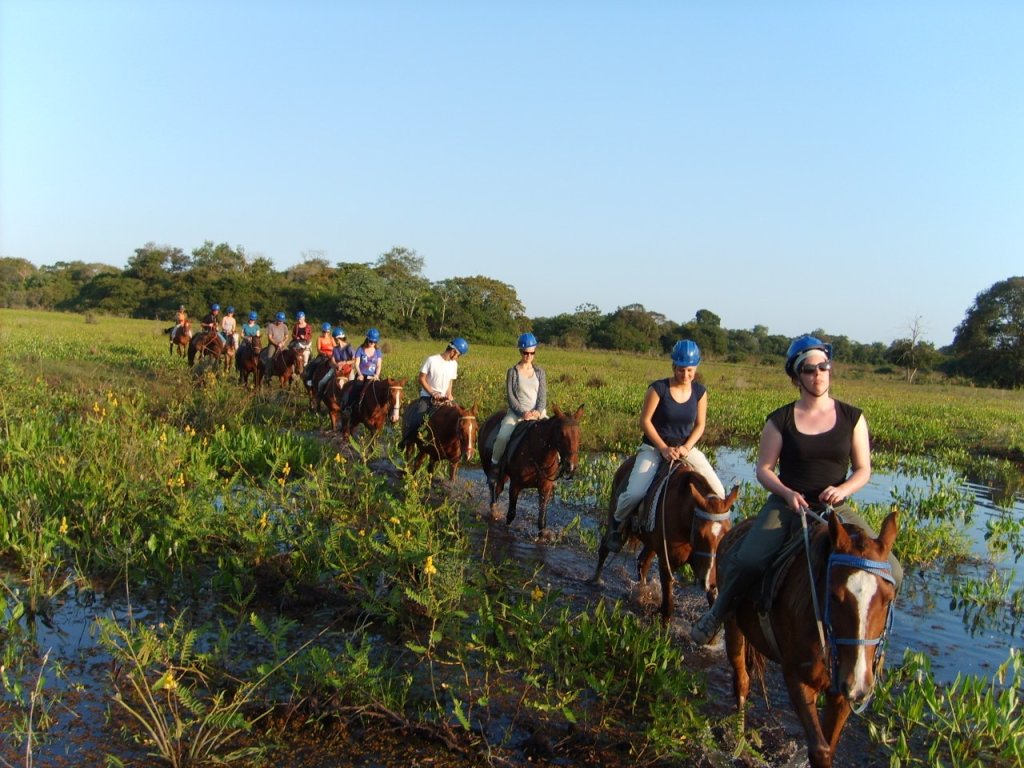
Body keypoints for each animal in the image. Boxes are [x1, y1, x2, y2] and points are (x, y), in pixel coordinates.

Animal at [475, 405, 581, 536]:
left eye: (578, 433)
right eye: (561, 433)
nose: (571, 466)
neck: (538, 455)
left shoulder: (545, 487)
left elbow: (541, 521)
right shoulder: (515, 485)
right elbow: (511, 514)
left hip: (504, 475)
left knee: (498, 489)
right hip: (489, 467)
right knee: (493, 487)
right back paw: (493, 510)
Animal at [589, 456, 741, 626]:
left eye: (728, 532)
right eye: (700, 533)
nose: (711, 581)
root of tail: (626, 464)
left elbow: (713, 601)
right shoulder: (667, 564)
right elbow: (668, 604)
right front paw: (664, 629)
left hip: (651, 543)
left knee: (643, 563)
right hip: (614, 517)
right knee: (605, 546)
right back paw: (596, 579)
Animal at [720, 512, 897, 768]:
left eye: (888, 598)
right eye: (833, 595)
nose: (858, 684)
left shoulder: (841, 695)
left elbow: (829, 746)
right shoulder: (798, 680)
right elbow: (819, 750)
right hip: (732, 625)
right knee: (741, 681)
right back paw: (739, 742)